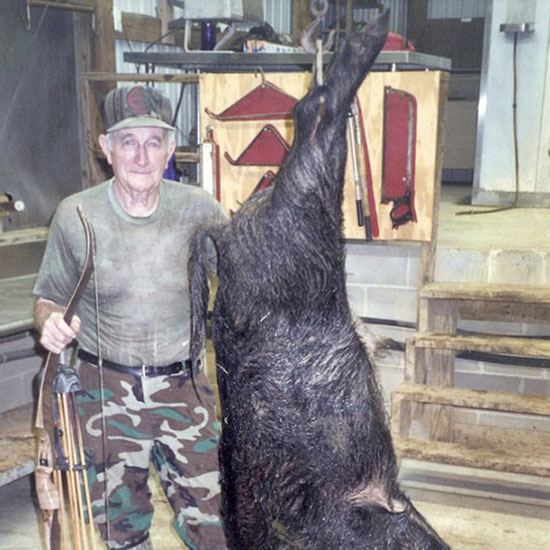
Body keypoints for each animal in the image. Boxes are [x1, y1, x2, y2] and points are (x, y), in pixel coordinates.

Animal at [189, 8, 450, 550]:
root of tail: (231, 230)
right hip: (312, 224)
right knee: (317, 108)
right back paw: (364, 32)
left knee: (314, 107)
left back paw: (345, 32)